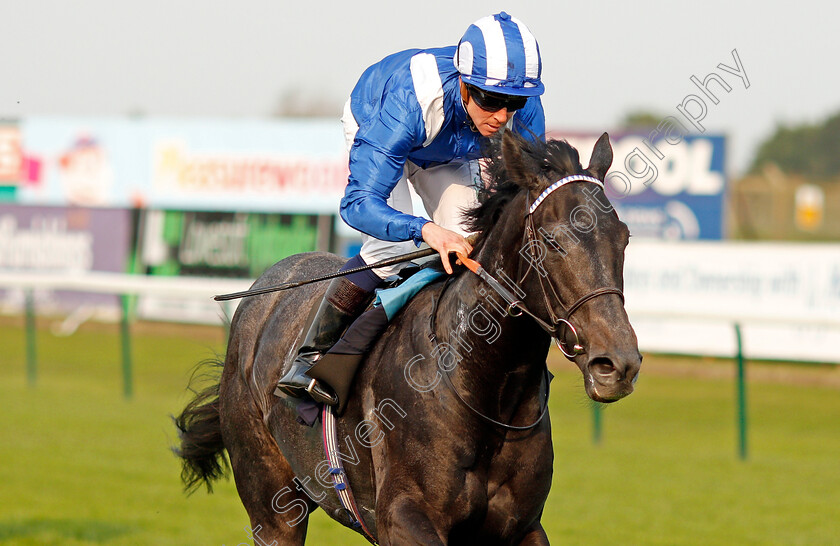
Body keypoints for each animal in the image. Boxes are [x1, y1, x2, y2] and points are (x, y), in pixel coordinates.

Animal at [174, 130, 640, 540]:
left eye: (624, 238)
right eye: (552, 240)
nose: (618, 364)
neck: (485, 389)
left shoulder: (523, 527)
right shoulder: (402, 517)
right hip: (272, 506)